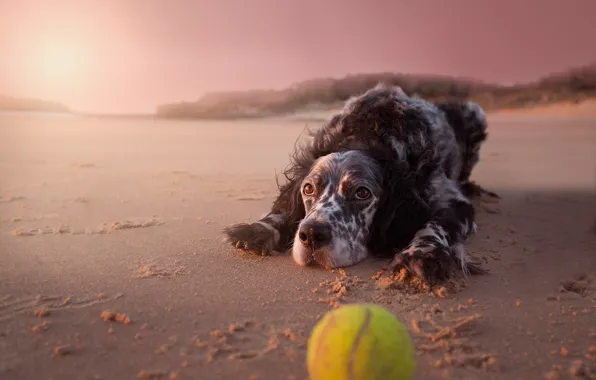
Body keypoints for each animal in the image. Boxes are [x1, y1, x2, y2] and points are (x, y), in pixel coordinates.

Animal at [224, 83, 494, 284]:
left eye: (362, 193)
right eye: (308, 189)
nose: (311, 235)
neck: (369, 136)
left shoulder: (452, 201)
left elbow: (436, 224)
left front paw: (420, 254)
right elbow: (284, 211)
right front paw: (259, 228)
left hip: (476, 112)